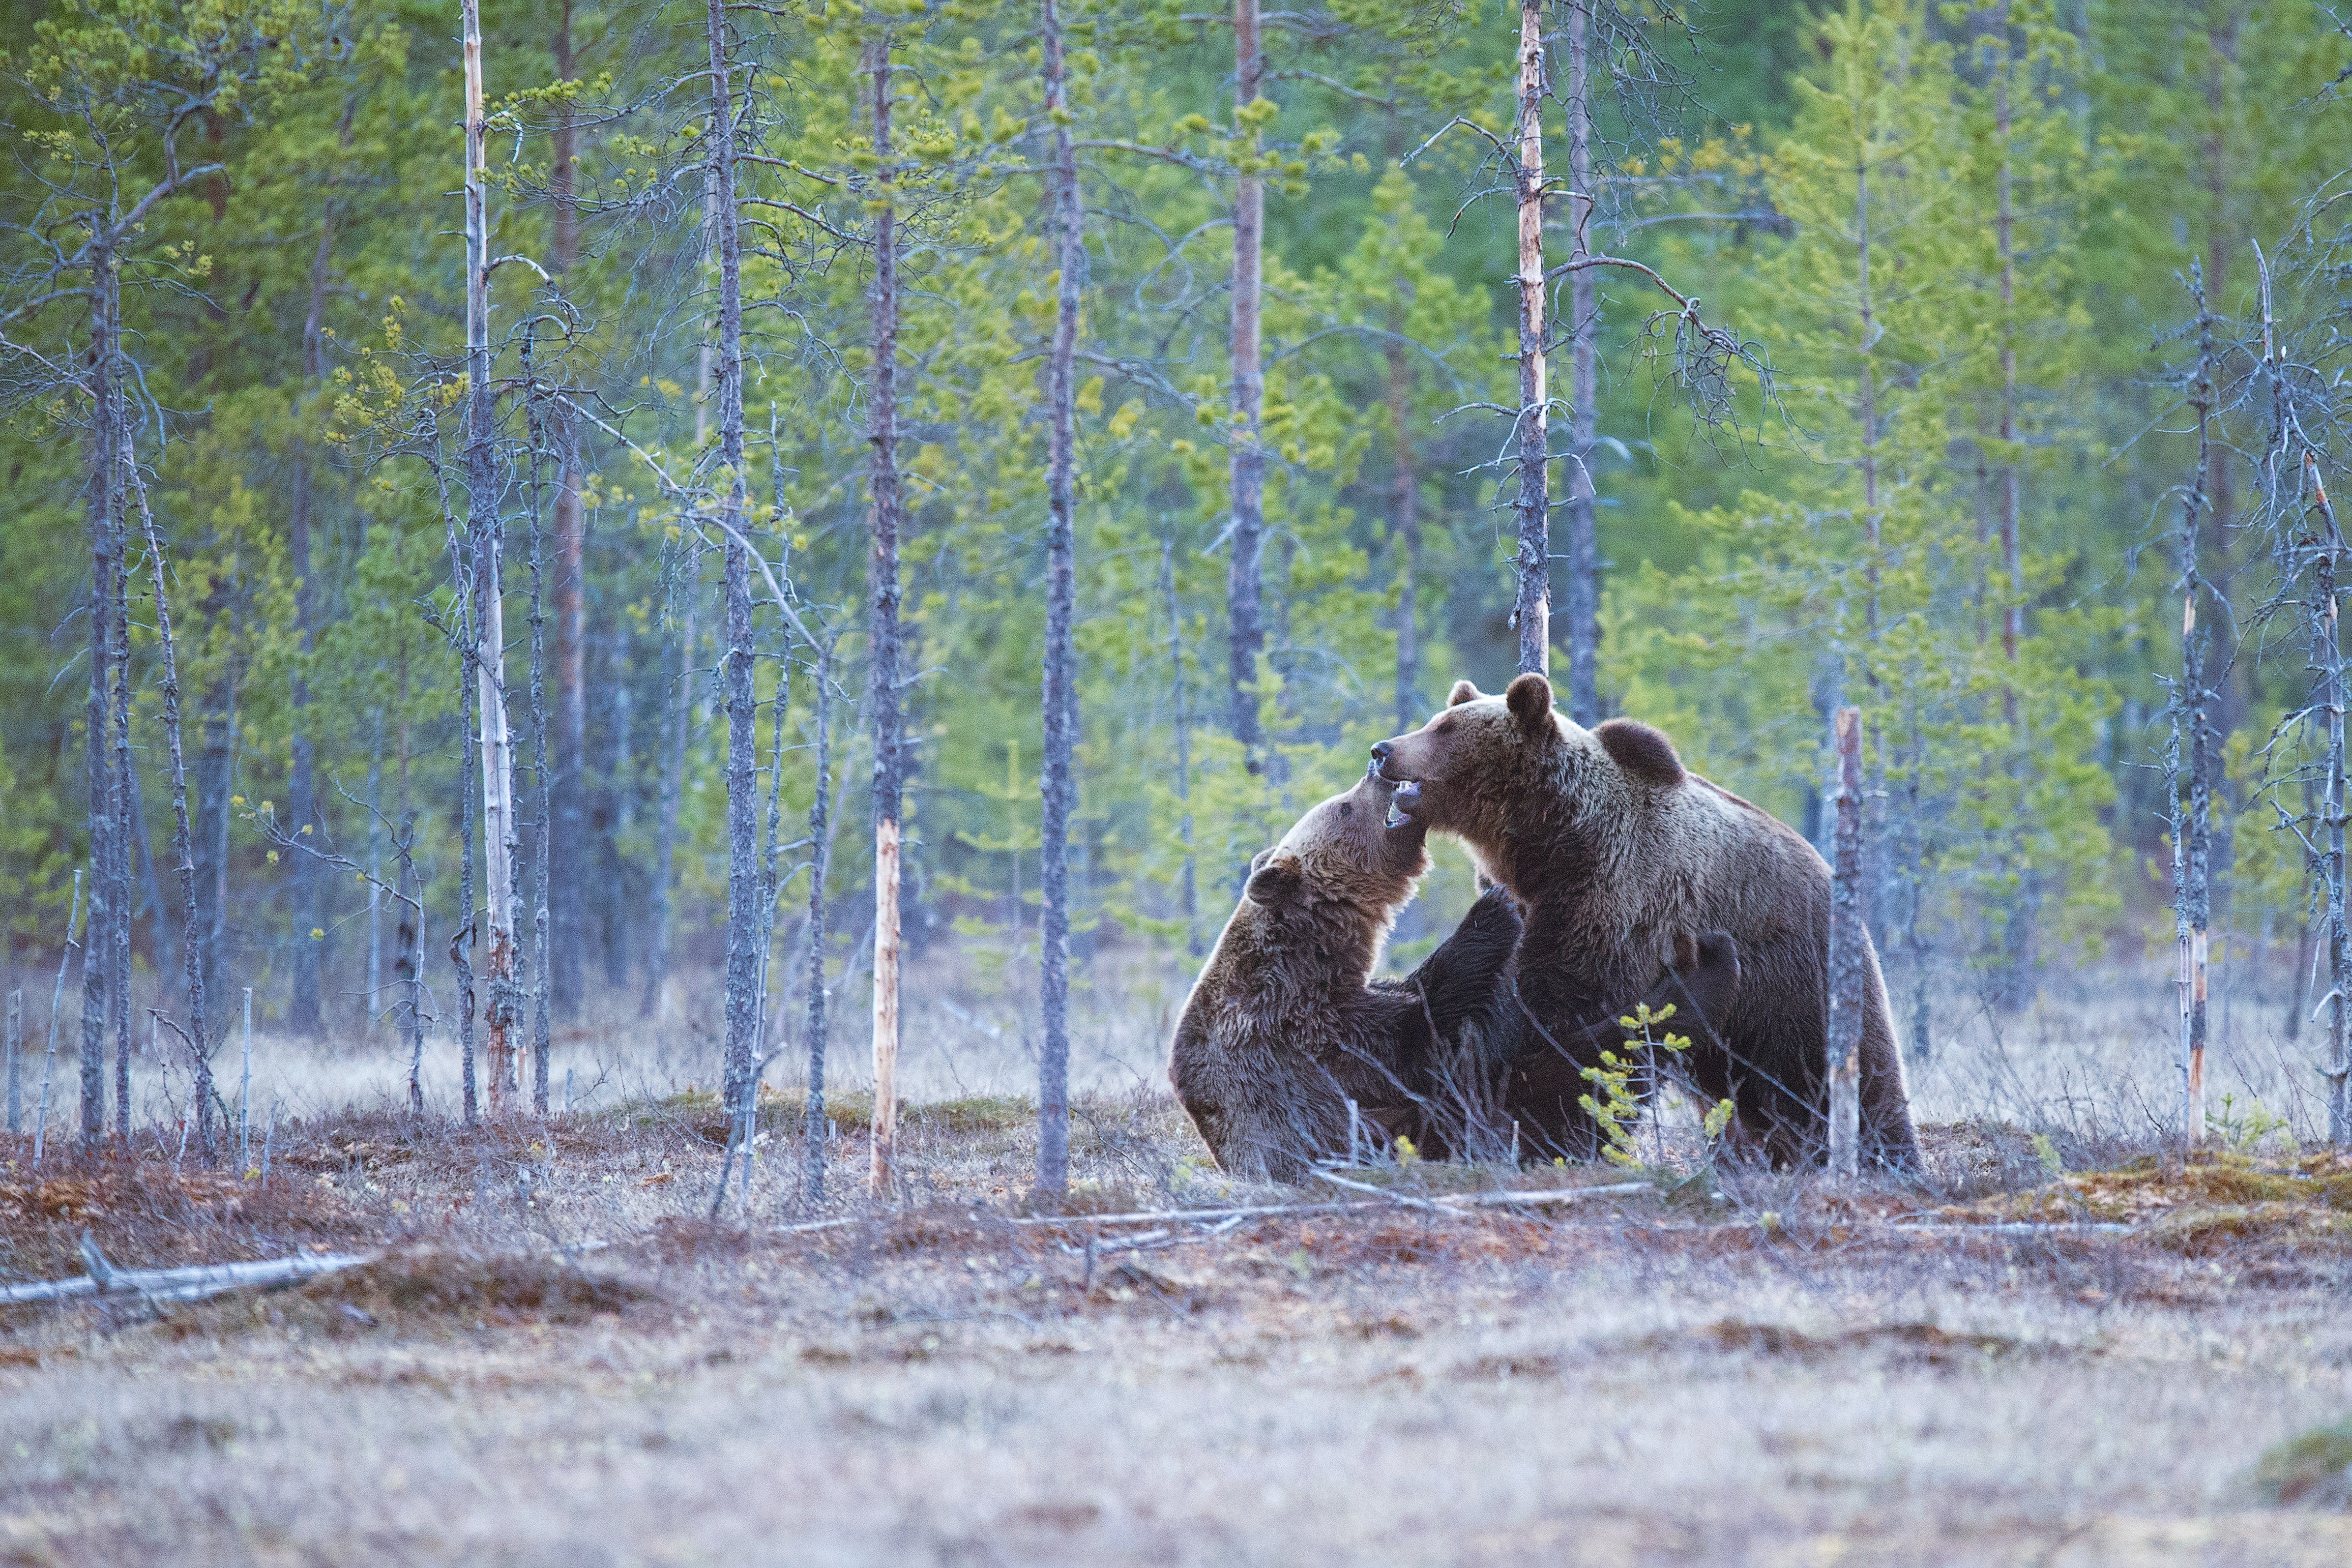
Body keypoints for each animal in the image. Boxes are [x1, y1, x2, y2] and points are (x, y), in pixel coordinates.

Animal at [1166, 766, 1740, 1185]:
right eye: (1345, 806)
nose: (1375, 770)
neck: (1313, 952)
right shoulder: (1297, 1033)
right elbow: (1418, 1034)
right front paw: (1494, 907)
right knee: (1575, 1075)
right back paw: (1705, 973)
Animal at [1373, 672, 1919, 1166]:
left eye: (1445, 729)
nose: (1383, 749)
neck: (1548, 842)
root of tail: (1834, 881)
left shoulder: (1615, 896)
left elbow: (1560, 1016)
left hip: (1794, 984)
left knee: (1838, 1076)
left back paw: (1884, 1156)